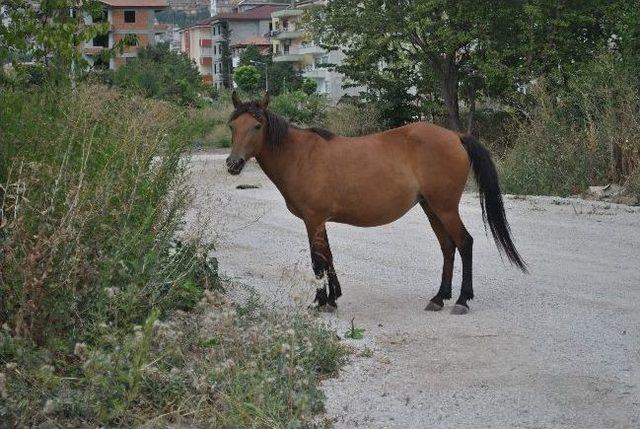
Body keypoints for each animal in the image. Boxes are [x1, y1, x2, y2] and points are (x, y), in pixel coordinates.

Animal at [225, 93, 524, 314]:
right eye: (232, 126)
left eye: (257, 126)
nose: (233, 163)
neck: (299, 155)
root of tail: (456, 136)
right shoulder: (319, 222)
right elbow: (328, 257)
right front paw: (332, 298)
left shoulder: (313, 219)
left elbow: (317, 261)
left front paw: (321, 302)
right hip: (431, 208)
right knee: (448, 247)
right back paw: (439, 298)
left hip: (445, 208)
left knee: (464, 243)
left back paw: (462, 300)